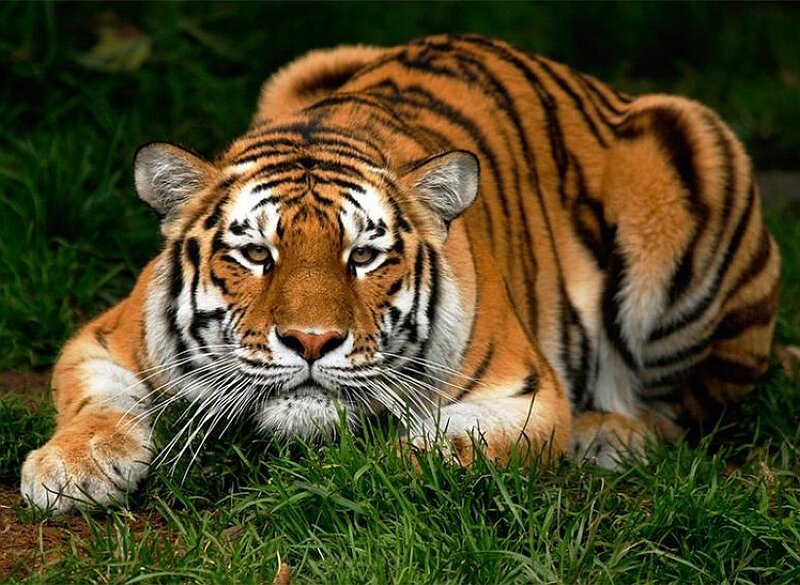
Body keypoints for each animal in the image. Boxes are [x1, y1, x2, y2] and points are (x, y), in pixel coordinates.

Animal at [21, 34, 780, 513]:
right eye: (257, 254)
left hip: (693, 153)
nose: (312, 341)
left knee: (689, 409)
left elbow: (436, 453)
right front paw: (69, 470)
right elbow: (96, 404)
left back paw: (610, 434)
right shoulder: (103, 338)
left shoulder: (524, 395)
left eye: (364, 256)